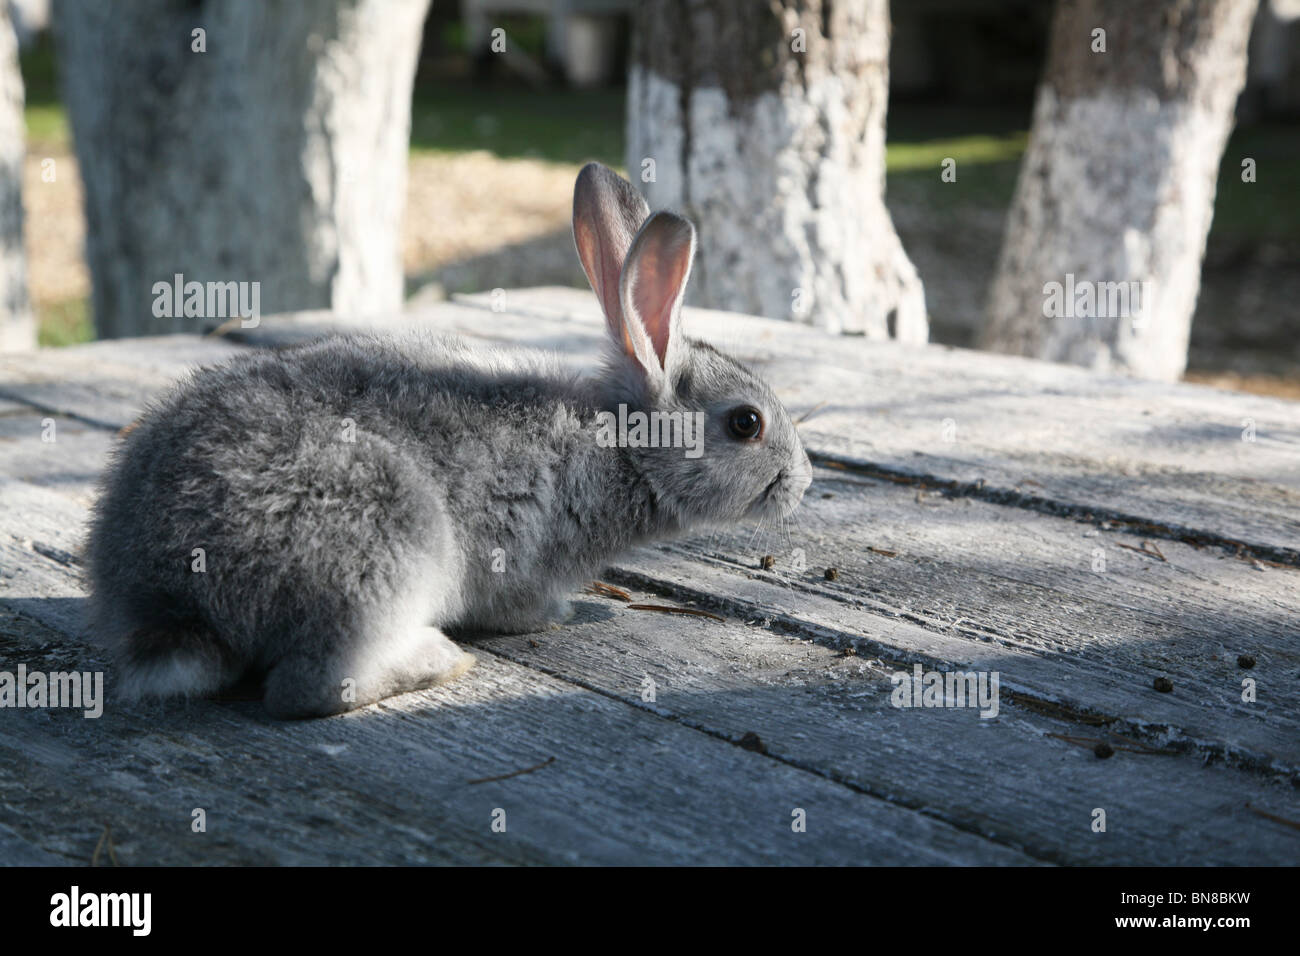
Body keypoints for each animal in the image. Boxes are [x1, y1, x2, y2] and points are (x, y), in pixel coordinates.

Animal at [84, 162, 813, 719]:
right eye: (746, 423)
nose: (804, 482)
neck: (622, 447)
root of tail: (171, 601)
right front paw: (559, 614)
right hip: (384, 551)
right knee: (307, 689)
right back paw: (437, 659)